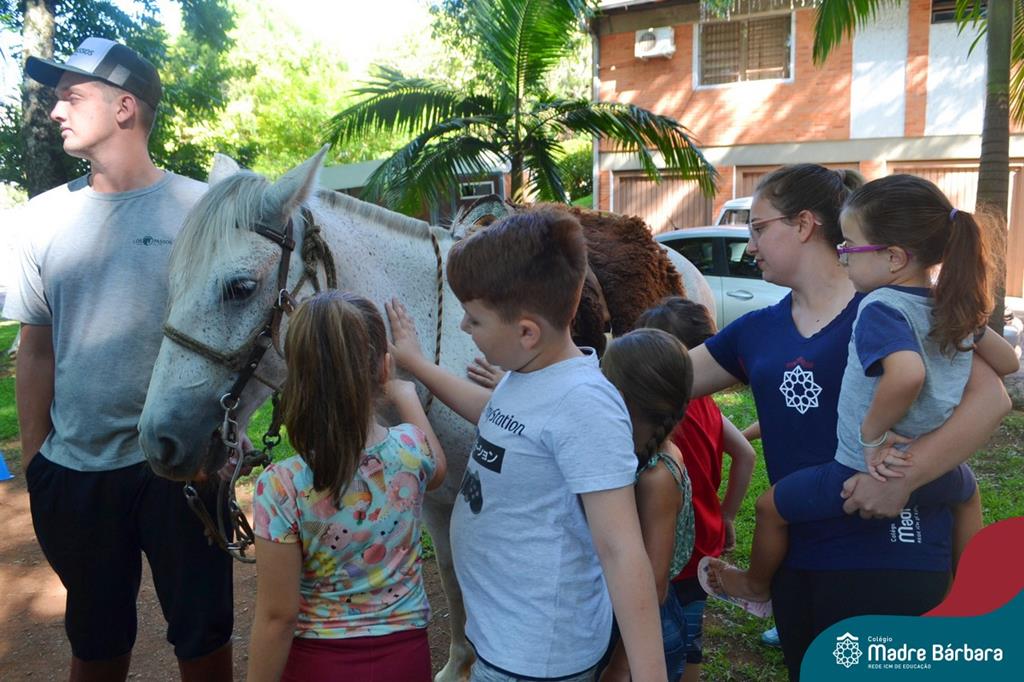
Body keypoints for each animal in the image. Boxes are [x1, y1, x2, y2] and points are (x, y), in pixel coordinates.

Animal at [137, 146, 715, 681]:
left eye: (240, 288)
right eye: (172, 282)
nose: (159, 440)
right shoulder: (439, 499)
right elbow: (457, 581)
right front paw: (460, 661)